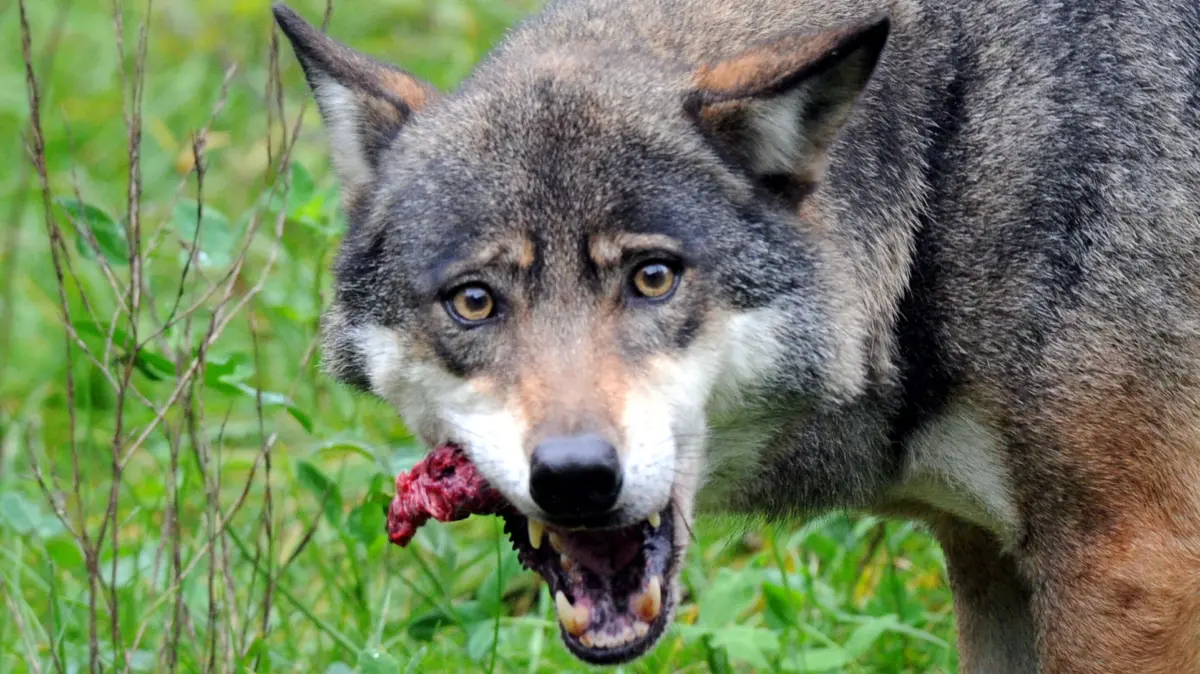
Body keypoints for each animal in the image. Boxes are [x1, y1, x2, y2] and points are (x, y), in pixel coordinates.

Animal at [273, 0, 1200, 670]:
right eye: (473, 301)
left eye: (653, 278)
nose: (576, 478)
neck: (947, 169)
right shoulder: (985, 555)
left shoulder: (1131, 562)